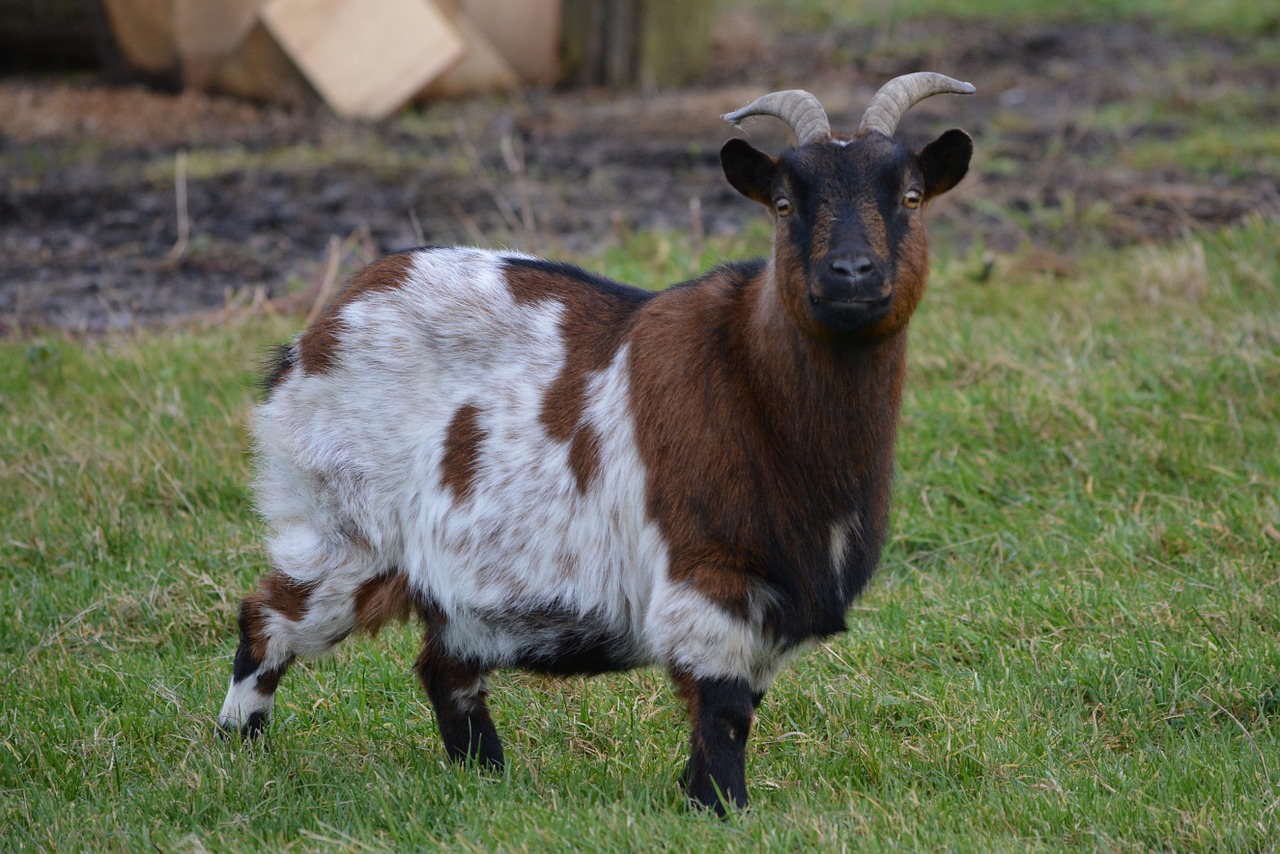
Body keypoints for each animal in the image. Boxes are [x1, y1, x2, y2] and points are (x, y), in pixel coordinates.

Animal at [220, 71, 972, 814]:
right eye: (784, 205)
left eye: (910, 197)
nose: (851, 273)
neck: (751, 383)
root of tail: (321, 328)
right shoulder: (707, 573)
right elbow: (724, 707)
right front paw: (722, 809)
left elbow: (737, 705)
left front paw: (697, 795)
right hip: (345, 527)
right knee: (269, 619)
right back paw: (239, 750)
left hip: (448, 580)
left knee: (444, 667)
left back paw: (486, 778)